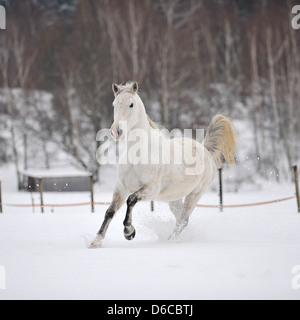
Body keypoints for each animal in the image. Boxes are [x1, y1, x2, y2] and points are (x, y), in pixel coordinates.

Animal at [89, 81, 237, 249]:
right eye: (114, 104)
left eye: (131, 104)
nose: (116, 131)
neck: (138, 154)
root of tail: (205, 149)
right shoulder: (121, 187)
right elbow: (110, 211)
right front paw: (96, 241)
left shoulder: (150, 190)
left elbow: (131, 200)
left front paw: (129, 232)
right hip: (173, 199)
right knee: (181, 219)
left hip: (195, 194)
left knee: (182, 221)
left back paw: (169, 241)